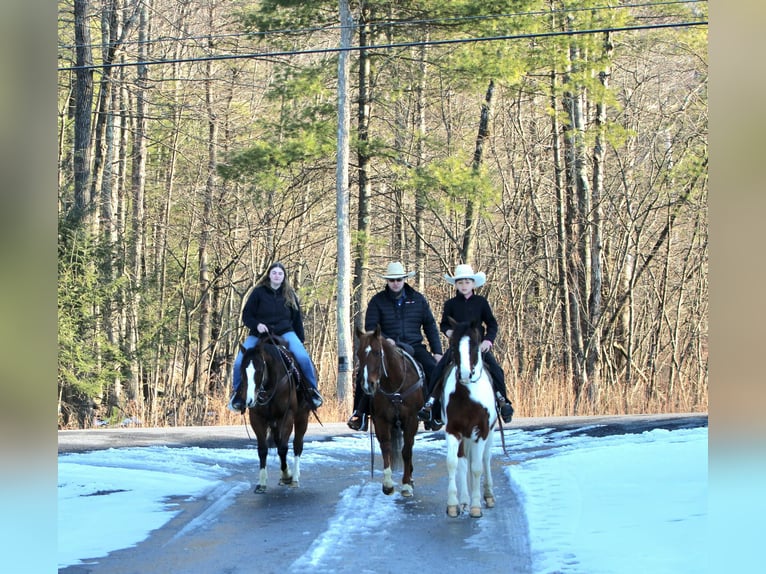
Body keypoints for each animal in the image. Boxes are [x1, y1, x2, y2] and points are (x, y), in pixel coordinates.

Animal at [233, 335, 312, 494]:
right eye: (242, 371)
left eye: (259, 370)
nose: (249, 400)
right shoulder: (257, 418)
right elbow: (263, 449)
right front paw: (262, 483)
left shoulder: (287, 416)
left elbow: (283, 448)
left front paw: (288, 476)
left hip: (301, 417)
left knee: (297, 445)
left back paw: (294, 478)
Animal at [355, 325, 425, 496]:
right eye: (358, 354)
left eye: (377, 352)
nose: (368, 385)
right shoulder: (381, 420)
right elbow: (386, 448)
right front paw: (387, 484)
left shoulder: (411, 420)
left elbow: (406, 451)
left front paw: (406, 484)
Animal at [441, 318, 497, 517]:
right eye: (452, 345)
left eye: (474, 344)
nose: (465, 374)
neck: (467, 395)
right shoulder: (453, 430)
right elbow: (453, 464)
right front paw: (453, 504)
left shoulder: (481, 431)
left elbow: (477, 467)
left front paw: (476, 506)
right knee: (464, 462)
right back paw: (465, 500)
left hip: (490, 433)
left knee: (485, 459)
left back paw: (488, 496)